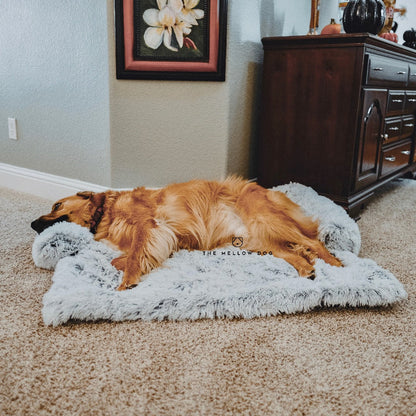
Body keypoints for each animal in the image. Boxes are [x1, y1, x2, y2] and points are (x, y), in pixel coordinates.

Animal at [30, 177, 342, 290]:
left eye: (56, 205)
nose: (33, 224)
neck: (107, 211)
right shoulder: (159, 236)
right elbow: (121, 258)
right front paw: (127, 266)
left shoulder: (149, 226)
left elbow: (134, 255)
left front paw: (128, 279)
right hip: (256, 240)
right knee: (293, 252)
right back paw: (306, 269)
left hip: (267, 221)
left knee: (313, 241)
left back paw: (335, 265)